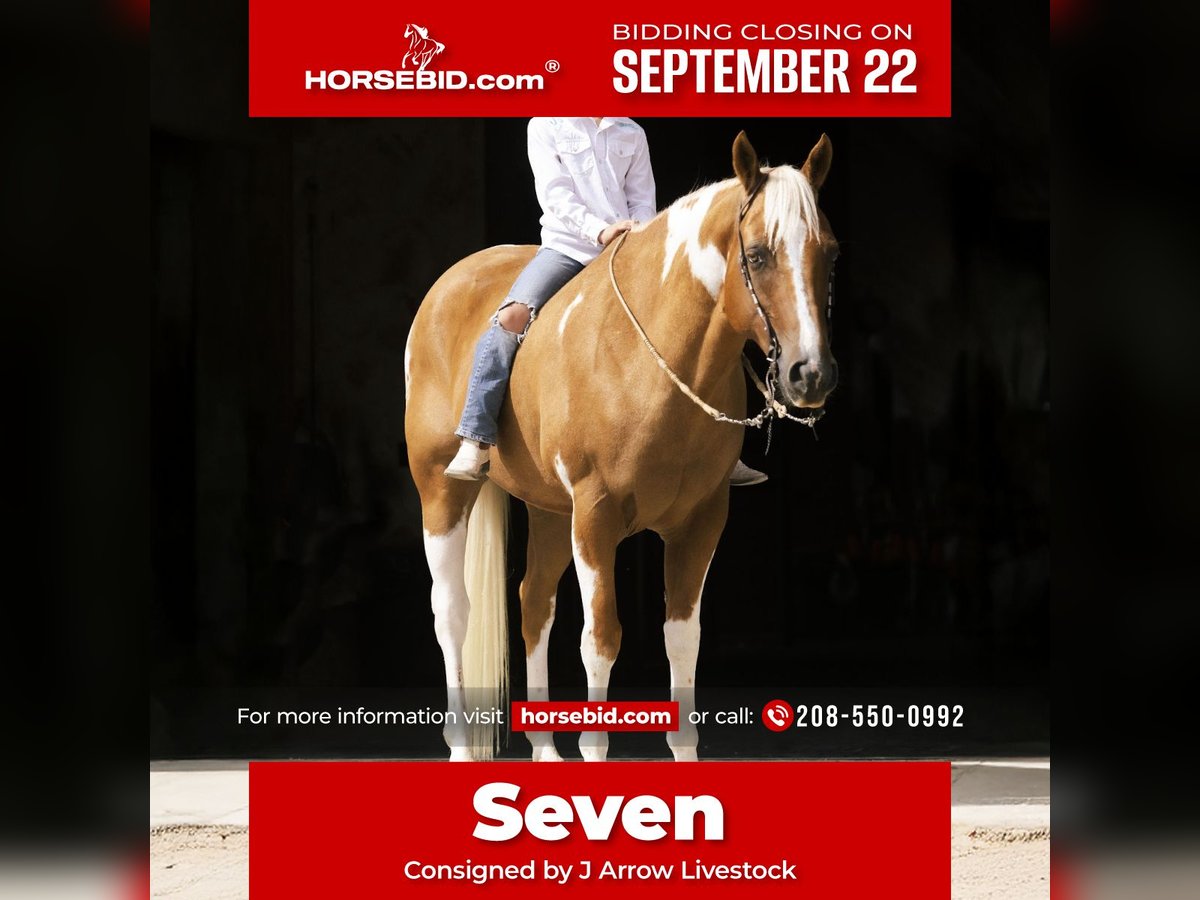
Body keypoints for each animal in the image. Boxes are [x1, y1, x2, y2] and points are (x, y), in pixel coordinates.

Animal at [404, 132, 838, 761]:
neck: (650, 362)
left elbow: (682, 639)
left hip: (549, 511)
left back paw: (544, 748)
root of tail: (450, 283)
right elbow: (601, 639)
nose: (812, 375)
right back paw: (461, 744)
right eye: (757, 255)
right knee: (452, 612)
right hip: (442, 494)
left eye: (830, 254)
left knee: (534, 602)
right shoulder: (596, 517)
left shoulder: (701, 521)